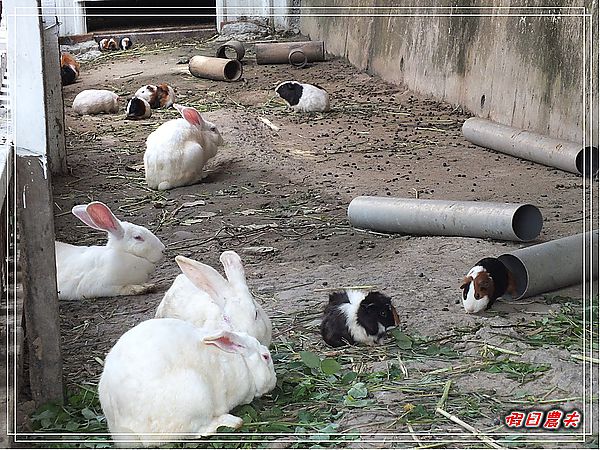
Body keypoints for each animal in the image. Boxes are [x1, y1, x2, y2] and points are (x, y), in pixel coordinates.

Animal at [98, 320, 276, 446]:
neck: (244, 364)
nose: (274, 381)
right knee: (195, 431)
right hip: (196, 396)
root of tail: (124, 430)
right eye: (265, 357)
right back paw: (232, 421)